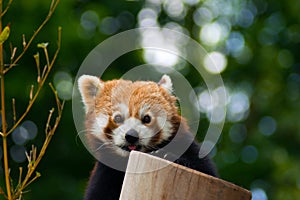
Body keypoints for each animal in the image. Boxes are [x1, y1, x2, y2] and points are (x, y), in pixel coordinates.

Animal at [78, 74, 217, 200]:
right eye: (118, 118)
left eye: (146, 118)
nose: (131, 136)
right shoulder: (105, 174)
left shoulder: (186, 145)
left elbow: (204, 169)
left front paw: (168, 156)